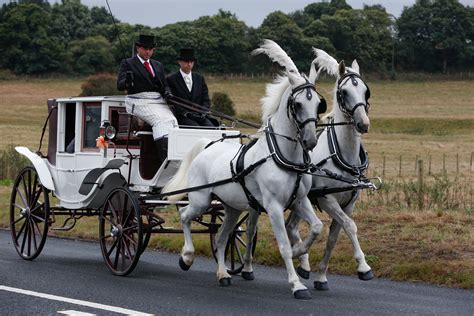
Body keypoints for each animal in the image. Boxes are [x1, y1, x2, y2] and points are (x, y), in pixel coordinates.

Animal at [164, 39, 326, 298]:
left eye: (319, 104)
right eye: (298, 103)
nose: (310, 141)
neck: (282, 156)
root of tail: (206, 145)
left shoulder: (300, 200)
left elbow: (317, 228)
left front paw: (300, 252)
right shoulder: (273, 206)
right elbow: (283, 245)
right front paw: (297, 284)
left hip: (231, 208)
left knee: (221, 238)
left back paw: (223, 274)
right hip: (201, 199)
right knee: (184, 215)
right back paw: (186, 257)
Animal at [286, 48, 374, 290]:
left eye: (366, 91)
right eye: (344, 91)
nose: (363, 123)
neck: (344, 153)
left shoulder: (349, 203)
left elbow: (334, 237)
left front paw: (322, 277)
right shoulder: (327, 199)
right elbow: (350, 226)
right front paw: (363, 266)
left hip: (300, 200)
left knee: (291, 227)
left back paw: (303, 264)